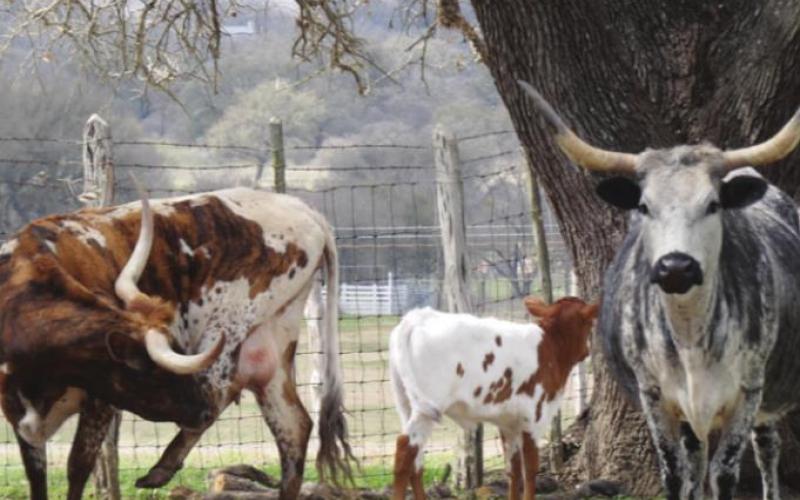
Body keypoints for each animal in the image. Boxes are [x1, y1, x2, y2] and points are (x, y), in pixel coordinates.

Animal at [0, 186, 353, 500]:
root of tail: (303, 209)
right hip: (272, 344)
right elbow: (37, 479)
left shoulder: (100, 402)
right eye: (154, 375)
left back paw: (163, 467)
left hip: (229, 327)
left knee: (222, 392)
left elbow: (77, 468)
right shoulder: (20, 418)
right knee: (293, 426)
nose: (197, 410)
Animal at [389, 297, 598, 500]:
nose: (587, 351)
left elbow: (513, 470)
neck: (550, 347)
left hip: (407, 404)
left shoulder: (508, 423)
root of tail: (419, 316)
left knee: (416, 461)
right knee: (404, 451)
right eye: (589, 323)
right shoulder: (533, 418)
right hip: (428, 407)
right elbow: (530, 470)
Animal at [519, 80, 800, 500]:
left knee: (766, 449)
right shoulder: (654, 396)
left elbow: (725, 474)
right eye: (645, 206)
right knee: (698, 461)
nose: (675, 267)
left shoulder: (747, 392)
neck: (690, 332)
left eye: (713, 204)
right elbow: (675, 473)